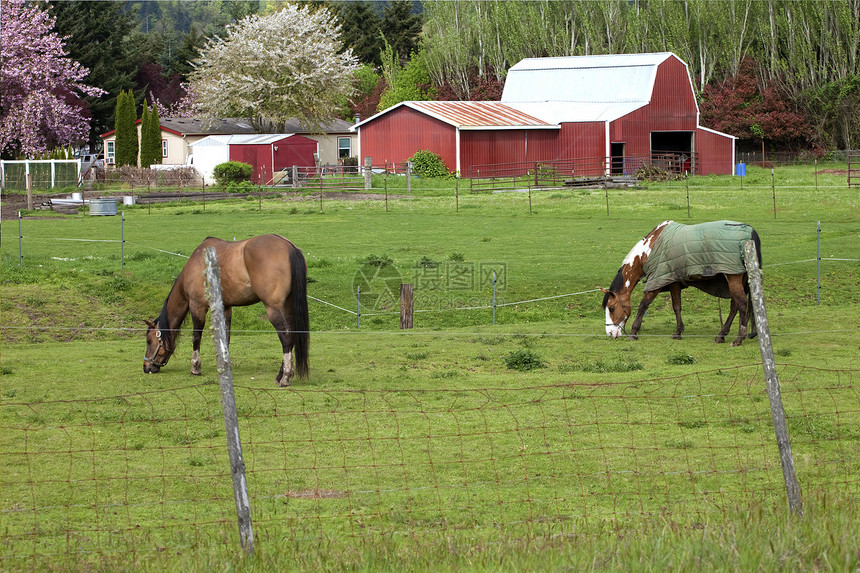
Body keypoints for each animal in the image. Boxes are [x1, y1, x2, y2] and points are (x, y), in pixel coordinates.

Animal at [144, 232, 310, 384]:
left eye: (149, 341)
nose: (146, 367)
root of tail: (289, 247)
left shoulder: (197, 306)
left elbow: (196, 337)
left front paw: (195, 368)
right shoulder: (225, 307)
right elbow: (226, 337)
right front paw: (225, 365)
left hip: (273, 309)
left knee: (286, 338)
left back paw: (285, 377)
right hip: (287, 307)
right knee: (292, 335)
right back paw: (281, 374)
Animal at [600, 219, 764, 344]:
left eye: (612, 308)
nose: (610, 333)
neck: (648, 250)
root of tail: (750, 232)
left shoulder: (657, 281)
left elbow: (643, 305)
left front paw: (634, 332)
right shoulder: (673, 282)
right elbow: (676, 306)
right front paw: (678, 332)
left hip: (733, 277)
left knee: (741, 303)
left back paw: (738, 339)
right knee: (735, 305)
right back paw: (721, 335)